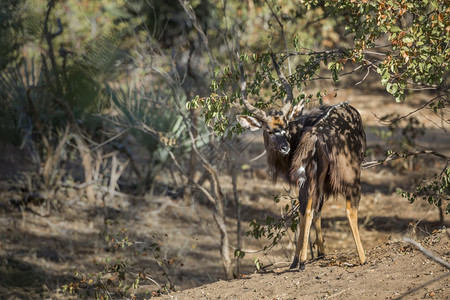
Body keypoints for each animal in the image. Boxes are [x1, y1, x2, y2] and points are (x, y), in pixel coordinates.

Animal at [236, 55, 366, 270]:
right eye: (269, 130)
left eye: (285, 125)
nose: (285, 147)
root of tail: (316, 133)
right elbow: (314, 209)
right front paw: (315, 254)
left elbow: (308, 210)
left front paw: (307, 257)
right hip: (344, 175)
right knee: (345, 208)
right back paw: (360, 258)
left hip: (319, 176)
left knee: (310, 208)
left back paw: (300, 261)